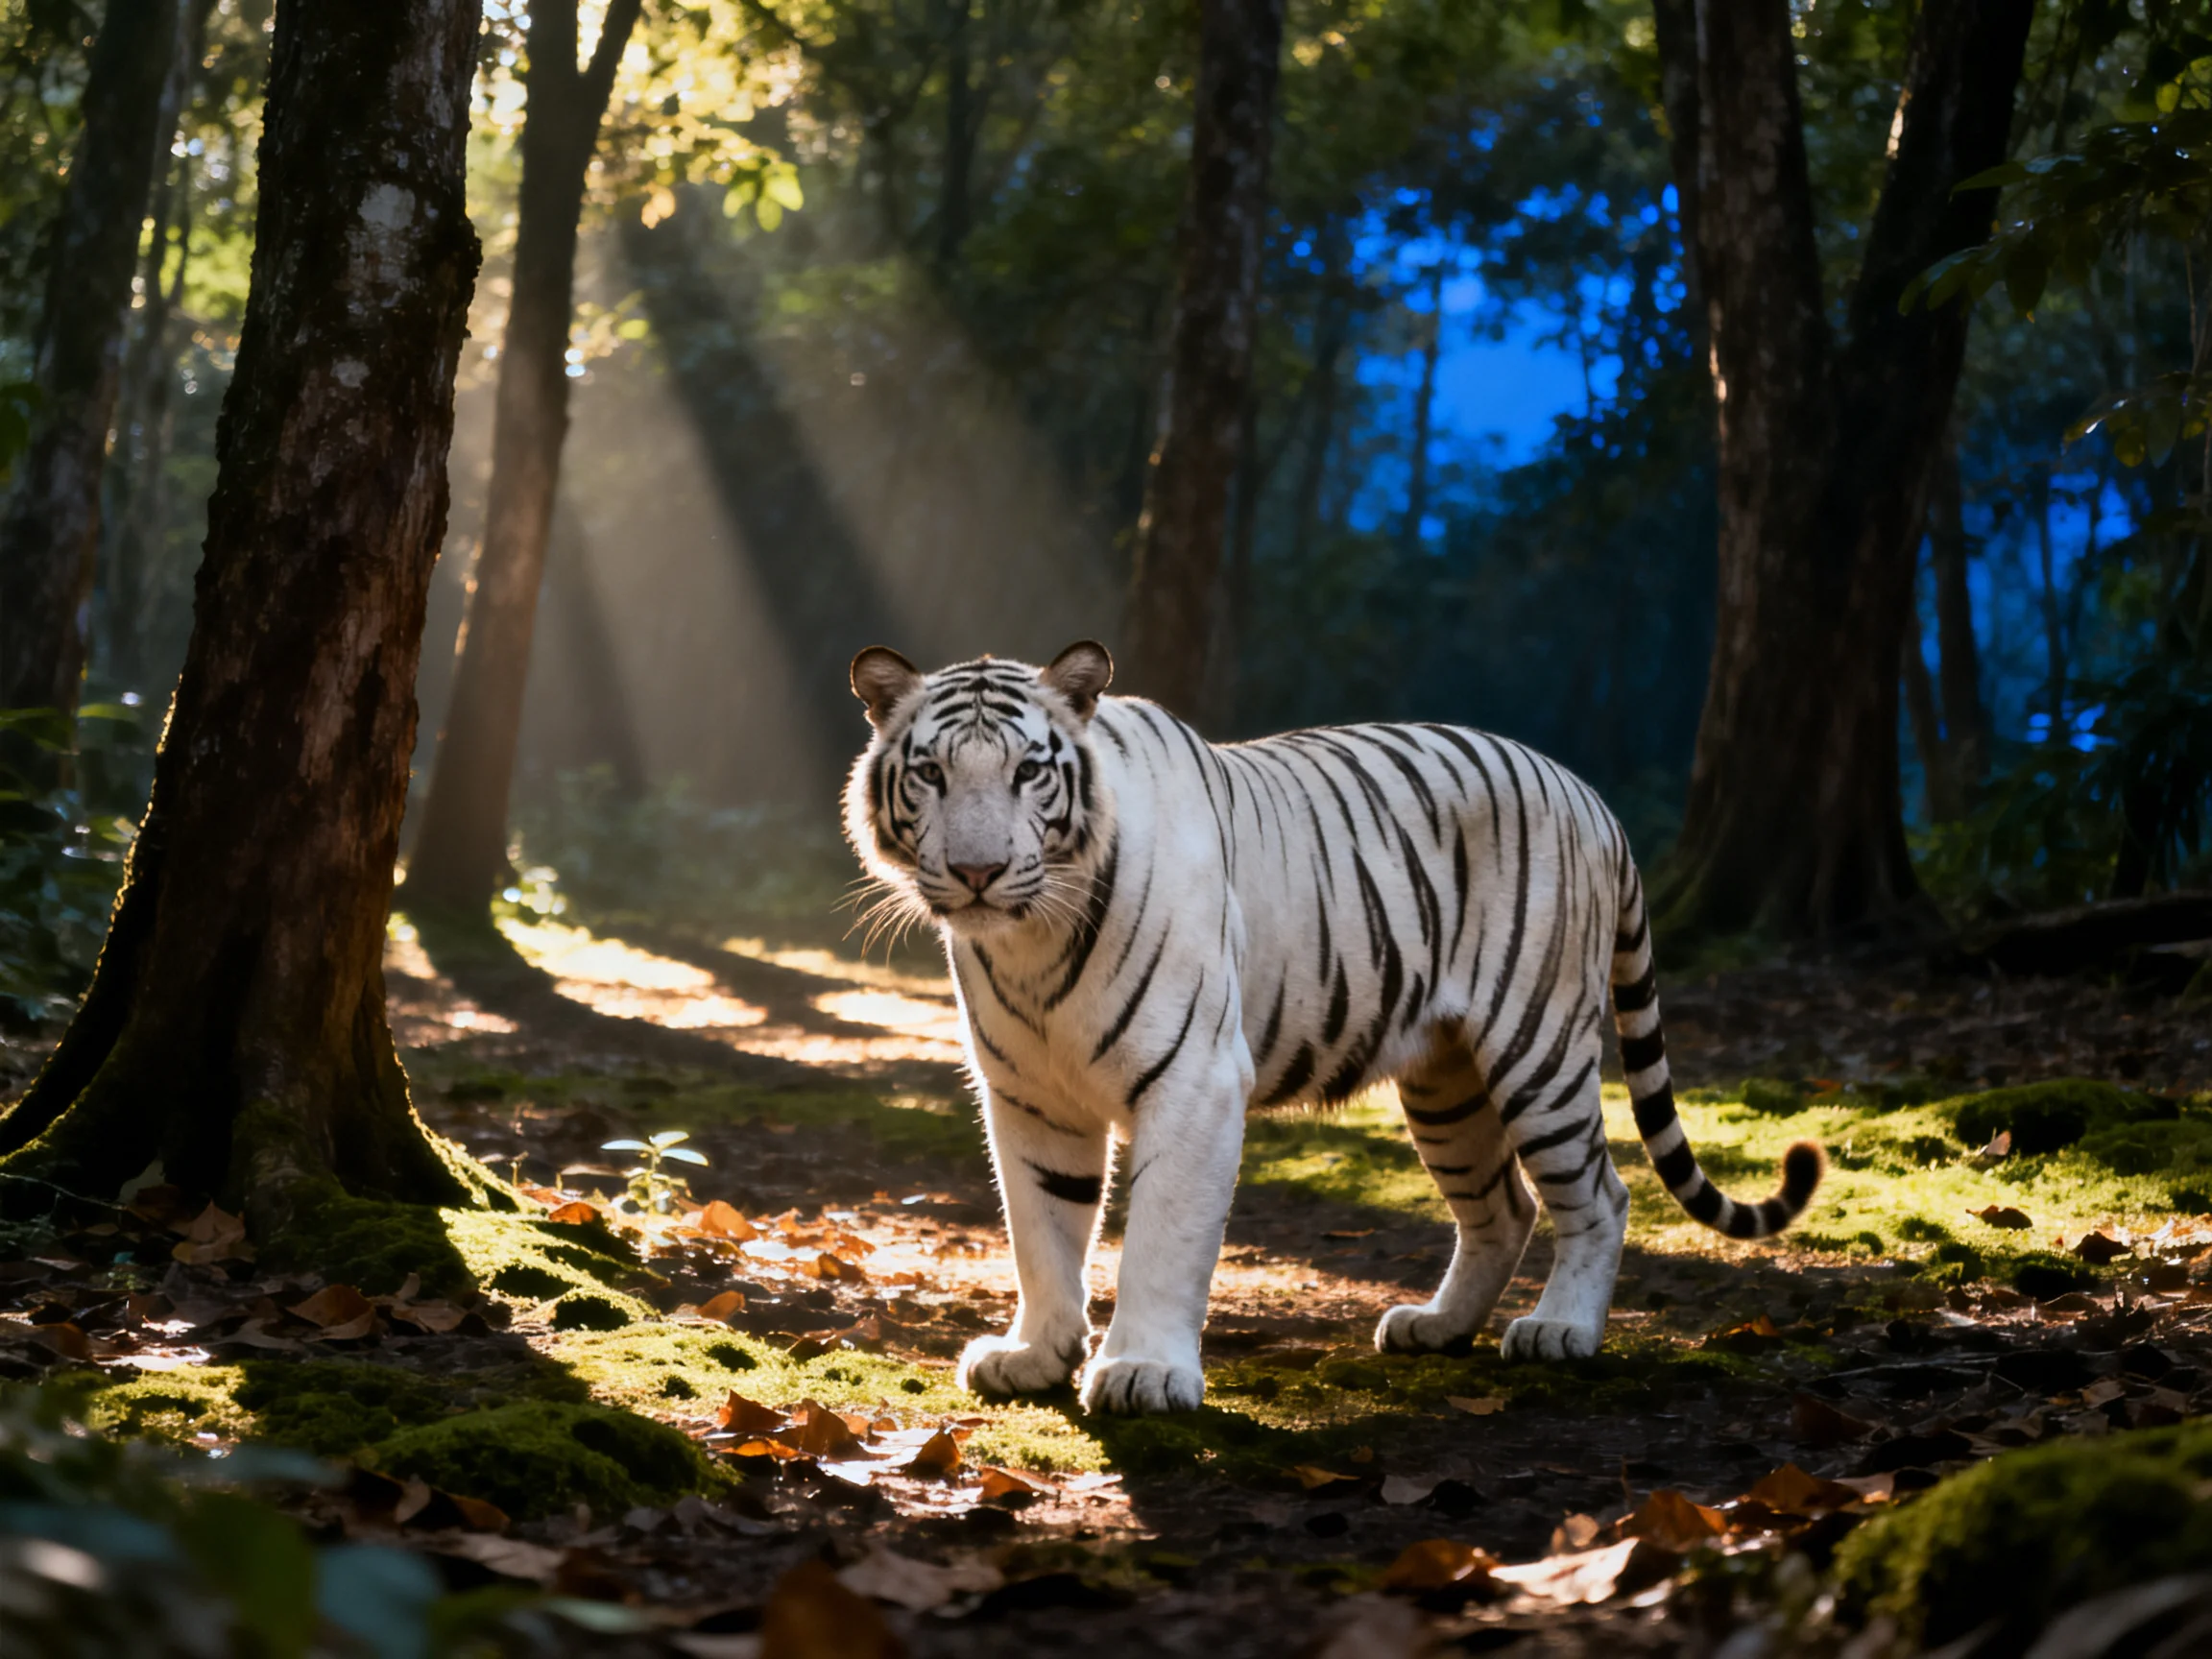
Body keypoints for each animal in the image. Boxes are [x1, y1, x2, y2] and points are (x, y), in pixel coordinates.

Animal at [843, 641, 1822, 1415]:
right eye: (932, 773)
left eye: (1027, 772)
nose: (978, 871)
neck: (1029, 944)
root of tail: (1590, 796)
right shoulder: (1031, 1097)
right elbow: (1041, 1232)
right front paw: (1036, 1355)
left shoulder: (1194, 1080)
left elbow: (1160, 1234)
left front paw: (1144, 1373)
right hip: (1446, 1082)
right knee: (1502, 1206)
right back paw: (1438, 1326)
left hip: (1538, 1047)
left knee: (1599, 1194)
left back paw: (1561, 1331)